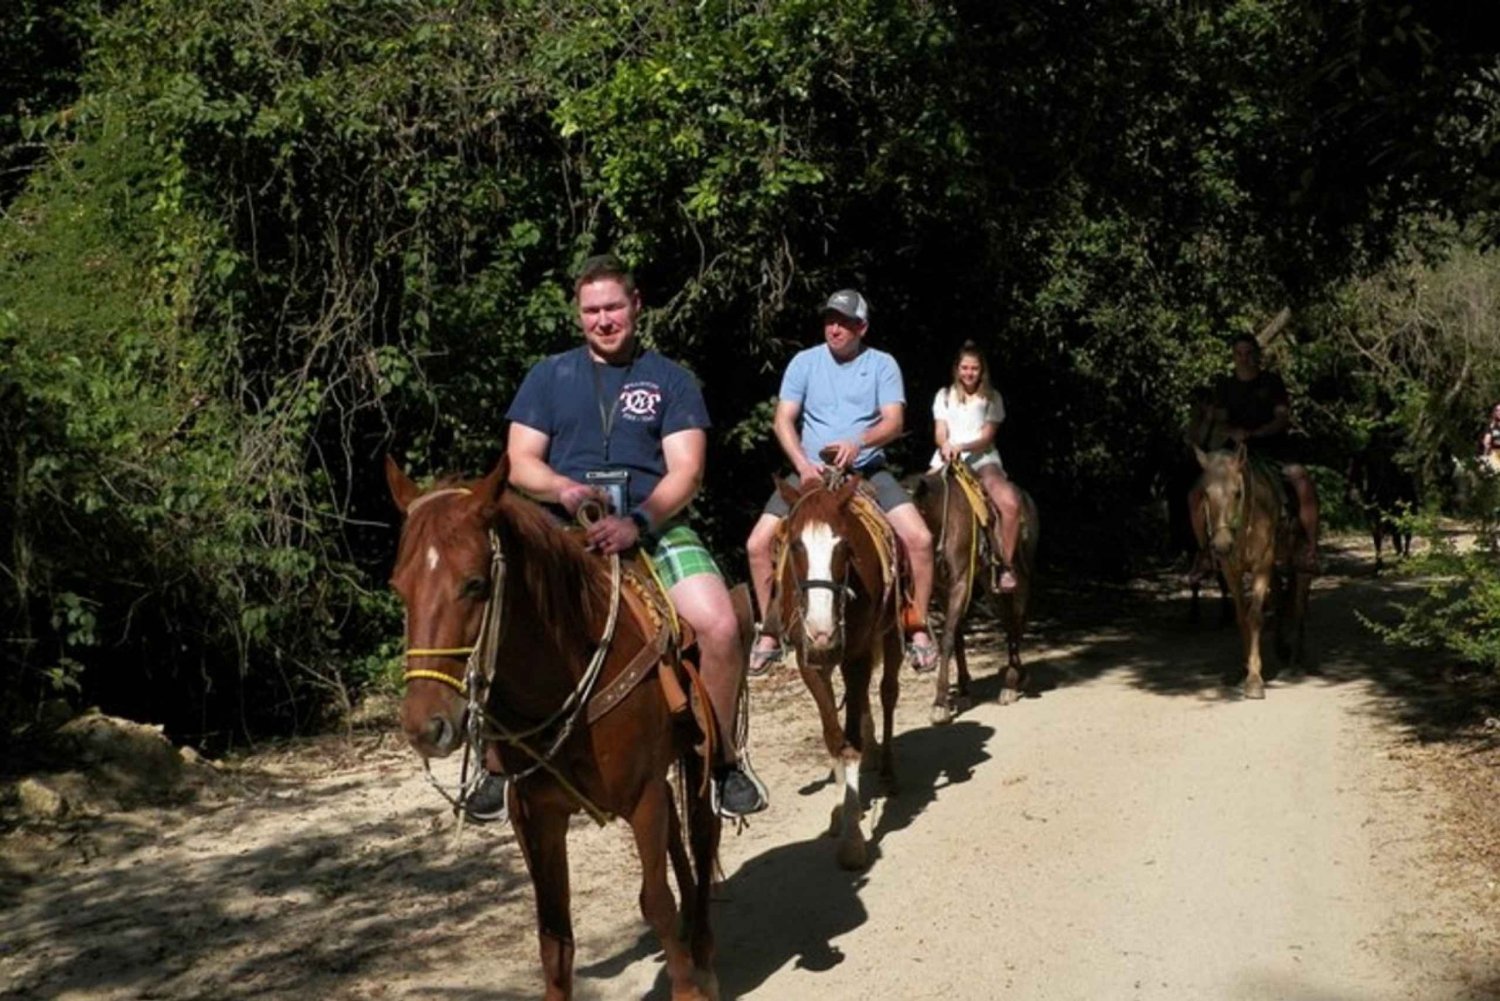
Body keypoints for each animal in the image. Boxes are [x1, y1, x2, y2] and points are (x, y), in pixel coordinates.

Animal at [384, 459, 717, 1001]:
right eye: (400, 587)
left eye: (475, 584)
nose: (424, 727)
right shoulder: (535, 816)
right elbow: (554, 935)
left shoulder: (641, 798)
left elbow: (657, 903)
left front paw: (689, 985)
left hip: (702, 755)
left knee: (704, 835)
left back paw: (703, 947)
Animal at [774, 474, 900, 870]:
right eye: (795, 544)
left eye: (844, 545)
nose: (821, 630)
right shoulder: (810, 662)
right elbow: (833, 737)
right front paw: (841, 811)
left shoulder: (856, 656)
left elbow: (851, 743)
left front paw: (853, 841)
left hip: (892, 636)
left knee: (888, 694)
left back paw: (887, 769)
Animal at [906, 462, 1038, 729]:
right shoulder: (942, 589)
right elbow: (957, 636)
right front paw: (963, 691)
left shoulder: (960, 582)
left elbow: (947, 638)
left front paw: (940, 704)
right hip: (990, 584)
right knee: (1009, 621)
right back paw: (1019, 676)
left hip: (1020, 580)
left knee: (1016, 621)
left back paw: (1011, 684)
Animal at [1194, 447, 1314, 696]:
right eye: (1206, 494)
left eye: (1238, 493)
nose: (1221, 545)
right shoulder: (1231, 572)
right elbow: (1241, 617)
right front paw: (1244, 671)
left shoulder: (1261, 567)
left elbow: (1255, 616)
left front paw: (1255, 679)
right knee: (1280, 600)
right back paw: (1283, 649)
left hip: (1302, 565)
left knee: (1299, 607)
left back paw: (1294, 664)